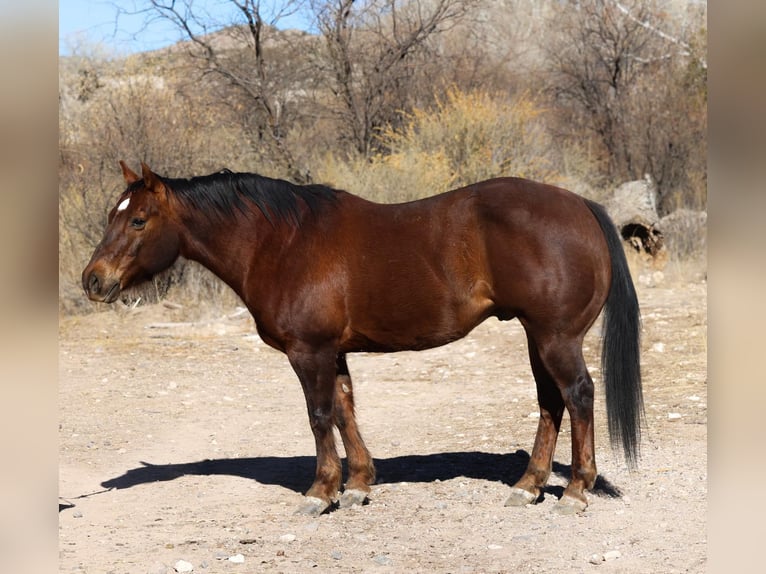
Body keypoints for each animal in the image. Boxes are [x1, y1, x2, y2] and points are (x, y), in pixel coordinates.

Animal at [82, 161, 643, 516]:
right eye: (112, 215)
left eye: (138, 219)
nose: (93, 280)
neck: (280, 242)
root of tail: (580, 205)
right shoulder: (334, 352)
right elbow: (345, 410)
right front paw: (356, 485)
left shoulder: (309, 352)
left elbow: (319, 415)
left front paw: (320, 492)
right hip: (535, 336)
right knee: (551, 402)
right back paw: (528, 487)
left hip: (555, 337)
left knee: (578, 396)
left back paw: (575, 491)